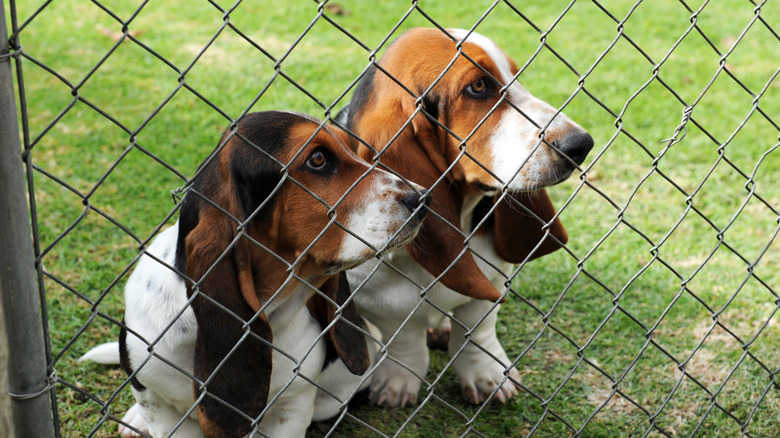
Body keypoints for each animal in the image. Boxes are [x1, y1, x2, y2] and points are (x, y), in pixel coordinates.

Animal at [332, 29, 596, 408]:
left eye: (515, 75)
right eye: (478, 87)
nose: (581, 144)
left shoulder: (493, 276)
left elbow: (477, 327)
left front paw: (486, 375)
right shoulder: (374, 297)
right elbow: (405, 336)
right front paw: (398, 381)